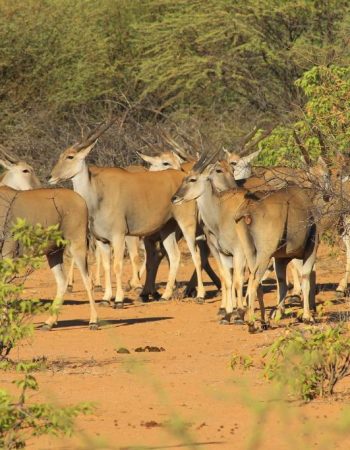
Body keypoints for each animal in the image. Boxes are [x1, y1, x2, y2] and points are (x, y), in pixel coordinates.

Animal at [0, 185, 97, 330]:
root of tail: (81, 200)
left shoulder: (7, 255)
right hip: (54, 253)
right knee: (62, 281)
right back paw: (49, 322)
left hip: (77, 244)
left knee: (87, 280)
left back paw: (93, 321)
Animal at [50, 118, 205, 308]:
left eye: (70, 156)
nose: (51, 177)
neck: (98, 194)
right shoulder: (102, 240)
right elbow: (107, 265)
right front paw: (106, 298)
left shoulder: (119, 236)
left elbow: (118, 265)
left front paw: (118, 299)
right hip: (167, 229)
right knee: (174, 256)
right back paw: (165, 295)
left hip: (186, 224)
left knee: (195, 254)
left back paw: (200, 295)